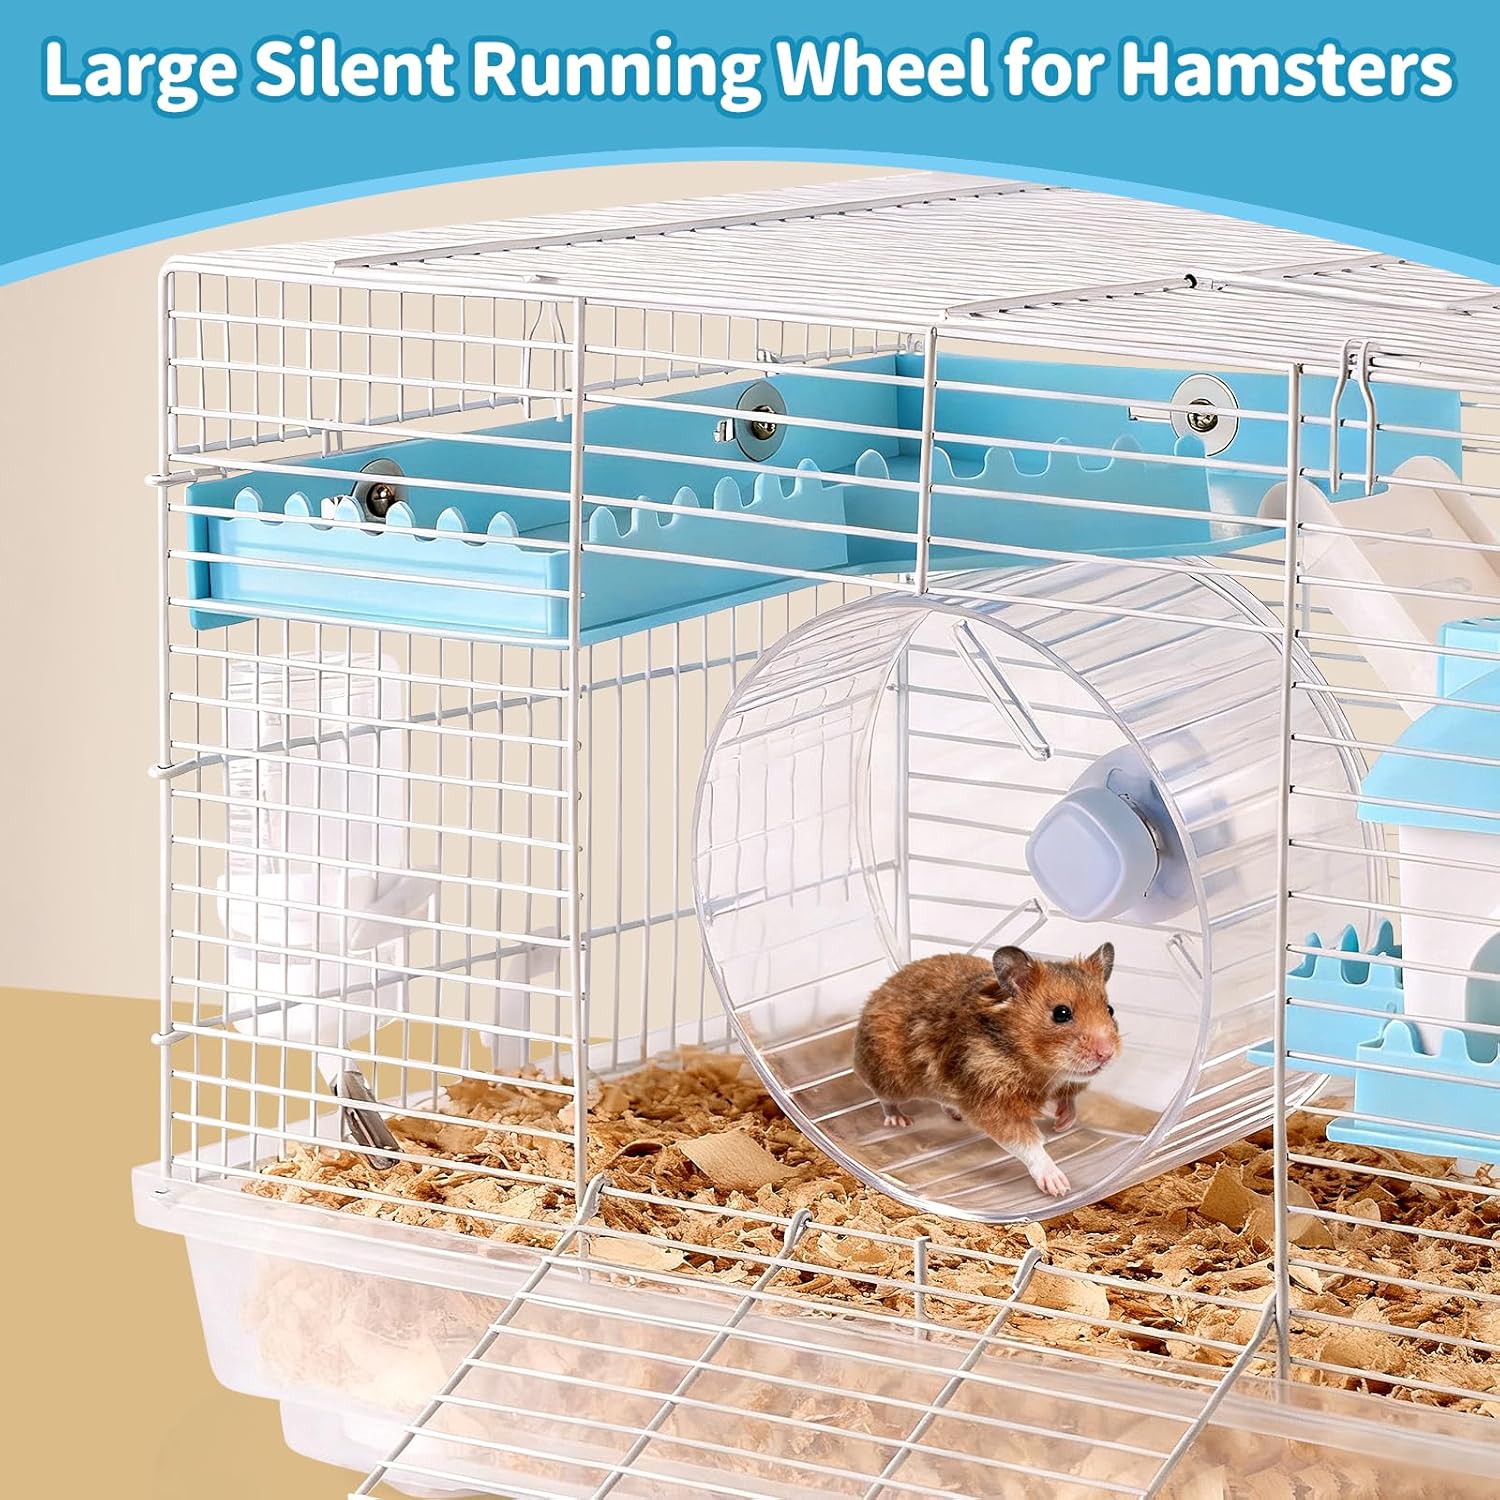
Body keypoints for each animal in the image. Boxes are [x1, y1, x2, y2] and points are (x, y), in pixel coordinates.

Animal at [853, 943, 1119, 1199]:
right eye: (1061, 1013)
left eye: (1110, 1009)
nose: (1106, 1054)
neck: (1044, 1068)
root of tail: (877, 993)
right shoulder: (995, 1102)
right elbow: (1029, 1145)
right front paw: (1059, 1186)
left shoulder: (1067, 1082)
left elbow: (1070, 1099)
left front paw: (1062, 1124)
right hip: (888, 1075)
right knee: (884, 1099)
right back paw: (899, 1121)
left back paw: (955, 1114)